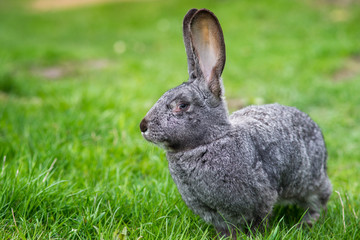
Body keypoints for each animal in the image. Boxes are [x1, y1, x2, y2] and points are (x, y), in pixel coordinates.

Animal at [139, 7, 330, 238]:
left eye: (182, 105)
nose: (143, 126)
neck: (209, 141)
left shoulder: (260, 200)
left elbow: (259, 221)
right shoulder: (212, 212)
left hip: (310, 180)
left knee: (320, 199)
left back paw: (308, 222)